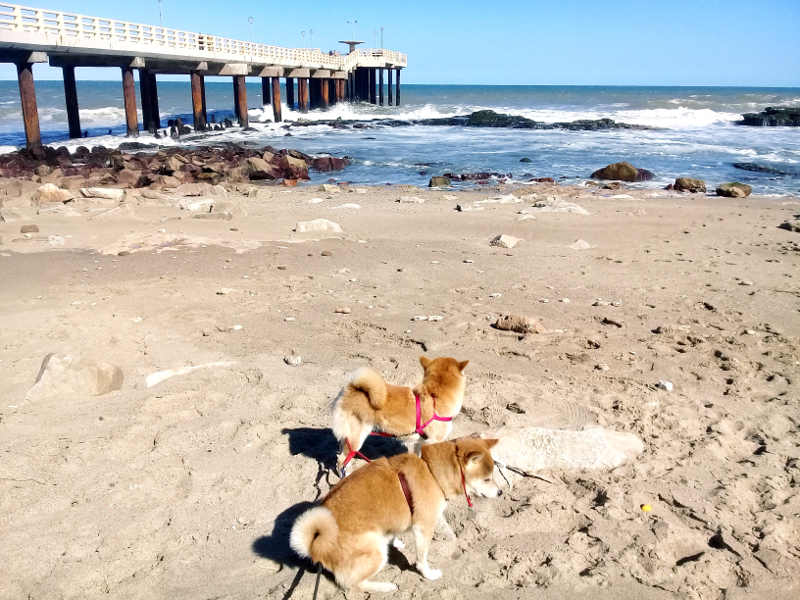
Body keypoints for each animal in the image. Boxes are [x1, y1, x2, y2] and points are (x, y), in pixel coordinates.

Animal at [332, 356, 468, 478]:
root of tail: (351, 388)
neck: (434, 396)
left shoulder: (420, 443)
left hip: (348, 439)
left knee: (340, 456)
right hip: (356, 439)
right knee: (342, 460)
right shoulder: (433, 442)